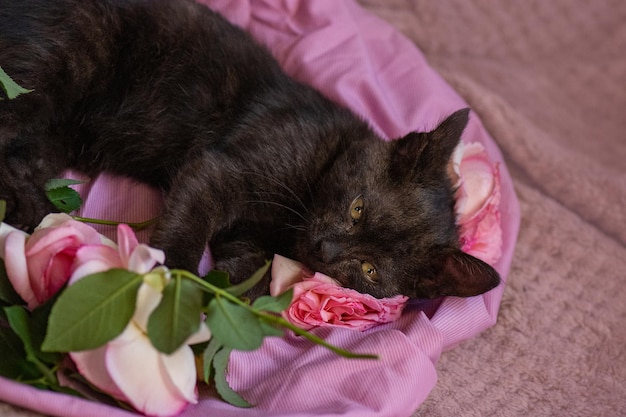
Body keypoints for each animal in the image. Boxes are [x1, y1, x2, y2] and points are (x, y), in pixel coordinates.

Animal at [0, 0, 498, 300]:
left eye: (370, 269)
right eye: (358, 208)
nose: (326, 248)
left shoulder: (246, 241)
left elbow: (251, 277)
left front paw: (215, 295)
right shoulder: (219, 171)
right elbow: (186, 235)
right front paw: (172, 284)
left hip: (53, 134)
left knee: (17, 165)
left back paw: (41, 221)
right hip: (60, 67)